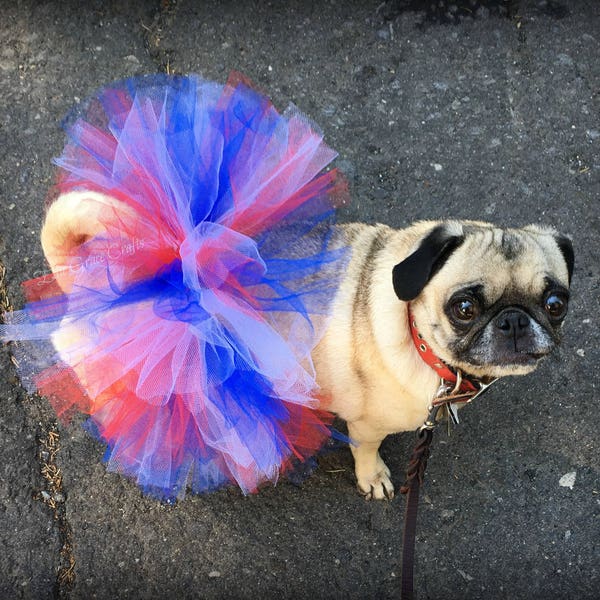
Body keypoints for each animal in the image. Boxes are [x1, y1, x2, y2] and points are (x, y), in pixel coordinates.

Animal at [312, 220, 576, 496]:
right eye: (465, 309)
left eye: (555, 304)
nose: (514, 320)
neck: (420, 343)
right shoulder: (367, 426)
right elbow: (365, 449)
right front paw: (373, 477)